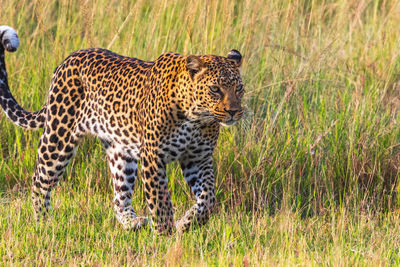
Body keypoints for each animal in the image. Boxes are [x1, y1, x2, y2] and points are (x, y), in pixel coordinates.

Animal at [0, 26, 244, 236]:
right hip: (59, 137)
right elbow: (160, 200)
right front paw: (165, 235)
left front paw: (187, 223)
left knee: (119, 196)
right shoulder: (153, 156)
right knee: (39, 180)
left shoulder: (198, 158)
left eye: (239, 88)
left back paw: (132, 222)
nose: (234, 111)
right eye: (215, 89)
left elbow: (208, 198)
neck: (196, 117)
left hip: (120, 153)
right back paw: (44, 222)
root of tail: (68, 59)